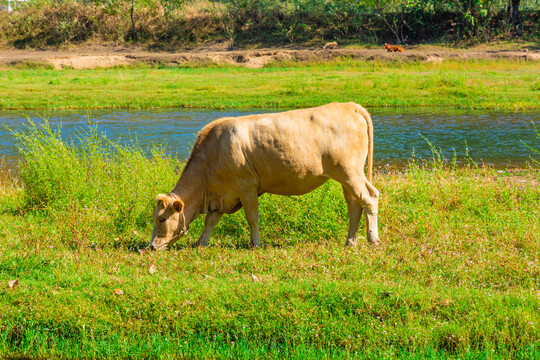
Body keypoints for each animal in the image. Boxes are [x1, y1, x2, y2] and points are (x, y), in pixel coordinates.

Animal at [148, 102, 380, 250]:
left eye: (161, 218)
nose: (150, 247)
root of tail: (348, 105)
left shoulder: (246, 186)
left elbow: (252, 217)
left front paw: (255, 244)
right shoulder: (222, 194)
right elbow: (211, 220)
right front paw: (200, 243)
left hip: (350, 172)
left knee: (369, 197)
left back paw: (373, 240)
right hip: (346, 176)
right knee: (354, 204)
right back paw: (350, 241)